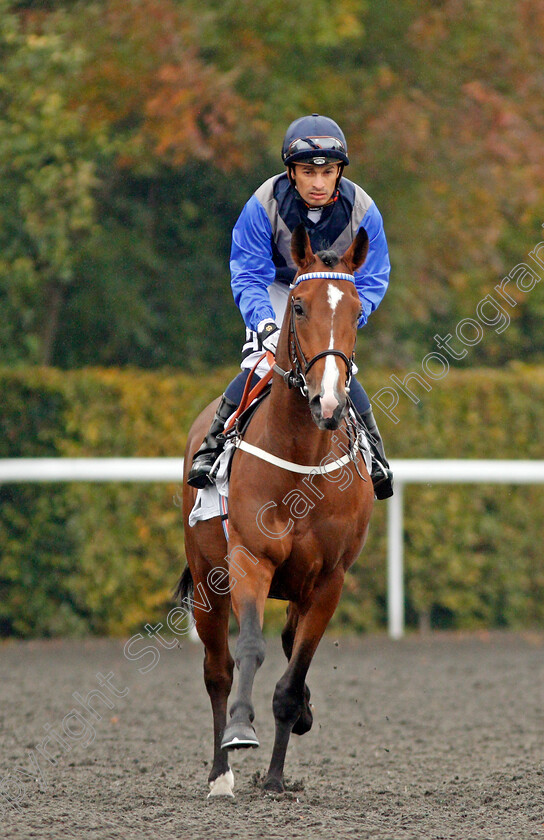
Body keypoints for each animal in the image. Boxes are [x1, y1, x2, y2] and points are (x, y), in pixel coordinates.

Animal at [178, 221, 374, 796]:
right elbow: (249, 650)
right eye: (301, 308)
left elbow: (294, 674)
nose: (328, 402)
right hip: (206, 582)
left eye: (356, 309)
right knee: (217, 670)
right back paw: (220, 774)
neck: (301, 459)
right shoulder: (250, 559)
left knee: (288, 644)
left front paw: (277, 774)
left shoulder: (329, 579)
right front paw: (241, 734)